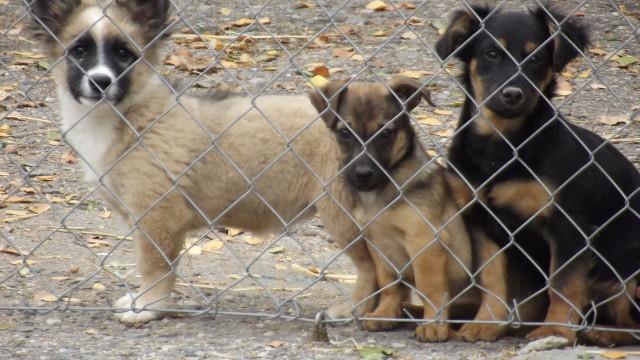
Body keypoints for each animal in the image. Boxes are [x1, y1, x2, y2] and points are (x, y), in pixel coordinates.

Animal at [31, 0, 380, 324]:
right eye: (78, 51)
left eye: (122, 53)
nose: (100, 81)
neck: (128, 117)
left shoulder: (159, 216)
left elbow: (153, 266)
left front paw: (148, 306)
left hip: (342, 215)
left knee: (371, 270)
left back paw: (351, 310)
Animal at [308, 77, 478, 342]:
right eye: (344, 133)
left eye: (386, 133)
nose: (362, 175)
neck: (382, 193)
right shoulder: (378, 244)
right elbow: (389, 283)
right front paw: (385, 313)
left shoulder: (425, 242)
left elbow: (430, 286)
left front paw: (434, 325)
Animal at [436, 3, 640, 346]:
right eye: (491, 54)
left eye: (536, 59)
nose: (513, 94)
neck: (501, 146)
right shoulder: (482, 222)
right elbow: (492, 279)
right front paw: (486, 323)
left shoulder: (569, 226)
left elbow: (563, 284)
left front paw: (555, 330)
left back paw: (599, 333)